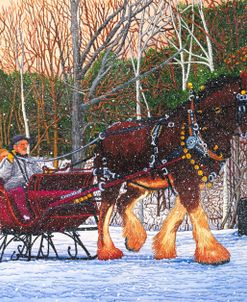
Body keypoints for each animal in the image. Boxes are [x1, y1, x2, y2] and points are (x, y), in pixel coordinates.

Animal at [93, 73, 246, 264]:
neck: (198, 130)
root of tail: (102, 136)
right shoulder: (185, 180)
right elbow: (196, 213)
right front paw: (214, 254)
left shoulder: (190, 181)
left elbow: (179, 214)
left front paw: (163, 248)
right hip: (110, 181)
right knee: (104, 212)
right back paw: (108, 251)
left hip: (140, 183)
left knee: (122, 203)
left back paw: (134, 240)